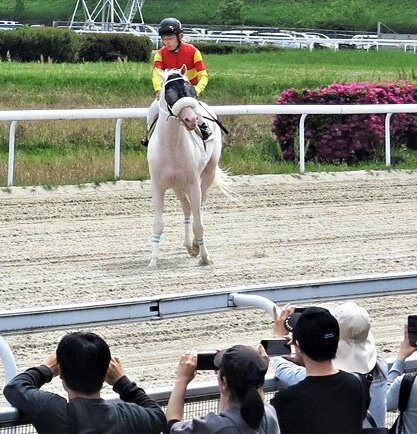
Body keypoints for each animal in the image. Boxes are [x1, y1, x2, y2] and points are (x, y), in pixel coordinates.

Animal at [146, 65, 224, 268]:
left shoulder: (193, 184)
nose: (191, 120)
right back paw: (189, 245)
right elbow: (158, 224)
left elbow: (199, 224)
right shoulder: (158, 185)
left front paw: (205, 257)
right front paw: (153, 260)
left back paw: (195, 246)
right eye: (169, 93)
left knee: (199, 208)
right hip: (177, 185)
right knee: (187, 208)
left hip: (208, 173)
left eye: (191, 91)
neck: (172, 146)